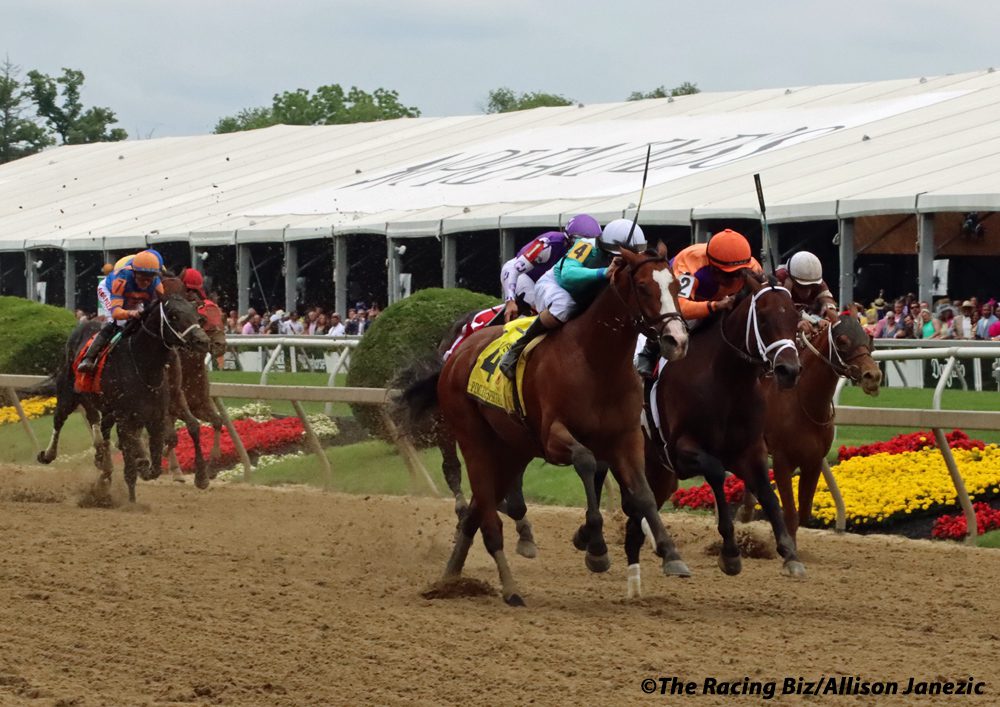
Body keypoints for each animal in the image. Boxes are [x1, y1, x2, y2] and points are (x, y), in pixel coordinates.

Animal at [38, 294, 210, 504]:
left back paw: (105, 465)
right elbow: (130, 465)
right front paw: (132, 501)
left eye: (199, 317)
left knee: (101, 427)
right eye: (174, 315)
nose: (203, 341)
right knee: (59, 419)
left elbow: (158, 460)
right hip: (68, 393)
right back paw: (48, 454)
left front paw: (200, 477)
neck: (144, 366)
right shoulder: (125, 418)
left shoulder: (159, 414)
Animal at [400, 246, 688, 604]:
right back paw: (502, 584)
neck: (596, 361)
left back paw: (451, 577)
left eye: (676, 285)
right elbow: (585, 462)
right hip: (471, 435)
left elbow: (643, 493)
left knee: (479, 509)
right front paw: (596, 548)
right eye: (644, 287)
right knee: (469, 488)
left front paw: (670, 552)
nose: (677, 340)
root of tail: (456, 354)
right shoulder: (553, 437)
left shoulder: (626, 437)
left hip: (511, 448)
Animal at [632, 276, 804, 596]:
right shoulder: (680, 451)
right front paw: (731, 553)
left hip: (659, 470)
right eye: (763, 317)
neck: (726, 382)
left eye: (795, 317)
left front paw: (790, 554)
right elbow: (715, 471)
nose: (789, 370)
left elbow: (768, 493)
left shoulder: (749, 451)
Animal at [756, 312, 884, 540]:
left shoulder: (813, 461)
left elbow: (803, 514)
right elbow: (790, 516)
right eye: (842, 341)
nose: (873, 376)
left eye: (868, 338)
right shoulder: (782, 461)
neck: (802, 402)